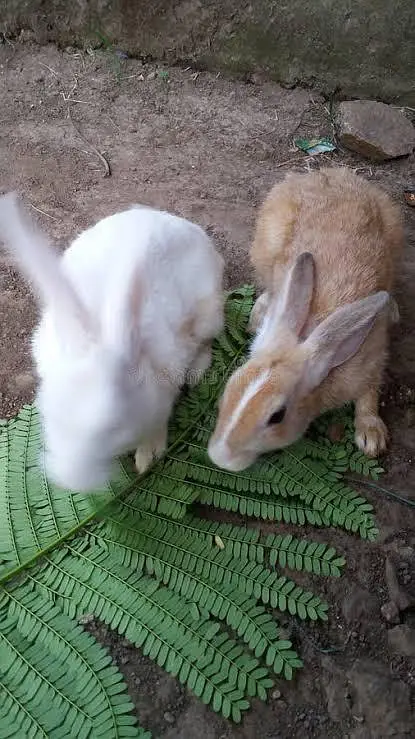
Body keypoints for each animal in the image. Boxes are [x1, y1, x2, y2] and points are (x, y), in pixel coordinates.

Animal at [0, 193, 224, 491]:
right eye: (49, 417)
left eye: (112, 428)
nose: (70, 480)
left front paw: (148, 456)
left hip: (209, 314)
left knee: (208, 340)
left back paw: (197, 372)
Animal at [207, 166, 404, 472]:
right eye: (232, 386)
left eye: (277, 416)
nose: (220, 458)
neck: (307, 336)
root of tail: (327, 173)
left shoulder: (371, 357)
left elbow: (369, 395)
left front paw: (371, 438)